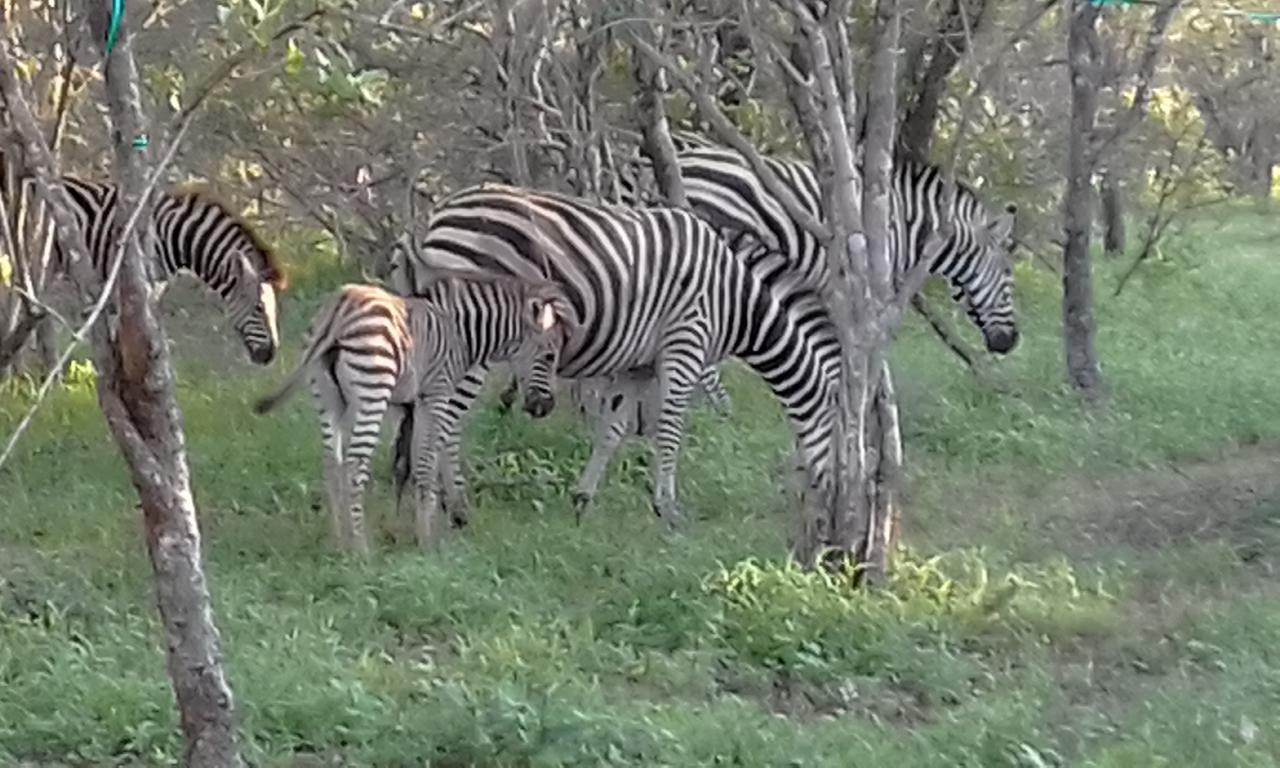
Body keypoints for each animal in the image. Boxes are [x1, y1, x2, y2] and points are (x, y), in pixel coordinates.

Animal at [253, 272, 576, 555]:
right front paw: (427, 538)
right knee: (355, 464)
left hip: (327, 395)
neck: (461, 330)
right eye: (550, 356)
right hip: (373, 388)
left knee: (332, 463)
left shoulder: (416, 403)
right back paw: (360, 548)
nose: (545, 407)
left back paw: (338, 542)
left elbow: (413, 462)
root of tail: (341, 305)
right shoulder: (436, 395)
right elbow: (426, 462)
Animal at [386, 181, 849, 527]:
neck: (735, 298)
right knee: (448, 422)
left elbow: (613, 429)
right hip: (471, 333)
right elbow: (670, 428)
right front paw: (668, 509)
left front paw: (582, 499)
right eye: (844, 437)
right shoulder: (686, 344)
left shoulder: (637, 366)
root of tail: (431, 221)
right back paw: (457, 508)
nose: (824, 504)